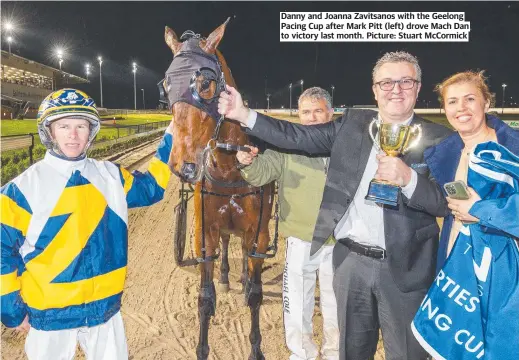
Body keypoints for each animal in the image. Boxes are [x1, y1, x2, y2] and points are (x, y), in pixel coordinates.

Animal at [164, 19, 276, 360]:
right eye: (166, 85)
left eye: (206, 84)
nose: (183, 165)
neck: (229, 168)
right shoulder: (205, 229)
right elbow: (205, 297)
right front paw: (202, 348)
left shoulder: (259, 232)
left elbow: (255, 294)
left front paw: (255, 349)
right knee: (227, 243)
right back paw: (227, 275)